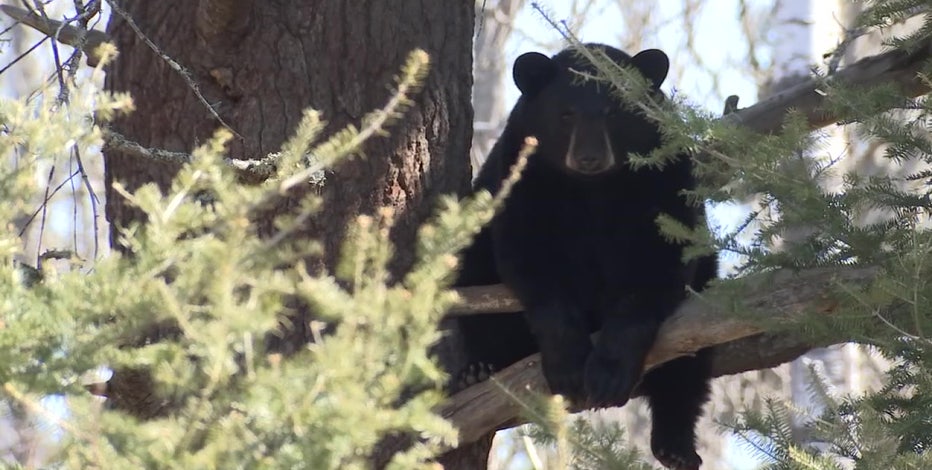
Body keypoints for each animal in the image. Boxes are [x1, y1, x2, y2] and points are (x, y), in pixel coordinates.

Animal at [454, 43, 717, 470]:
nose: (590, 158)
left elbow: (657, 266)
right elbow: (530, 261)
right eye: (566, 114)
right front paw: (568, 365)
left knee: (688, 367)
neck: (592, 189)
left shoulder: (664, 179)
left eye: (613, 112)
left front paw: (609, 372)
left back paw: (675, 445)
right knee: (473, 276)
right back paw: (478, 370)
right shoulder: (522, 177)